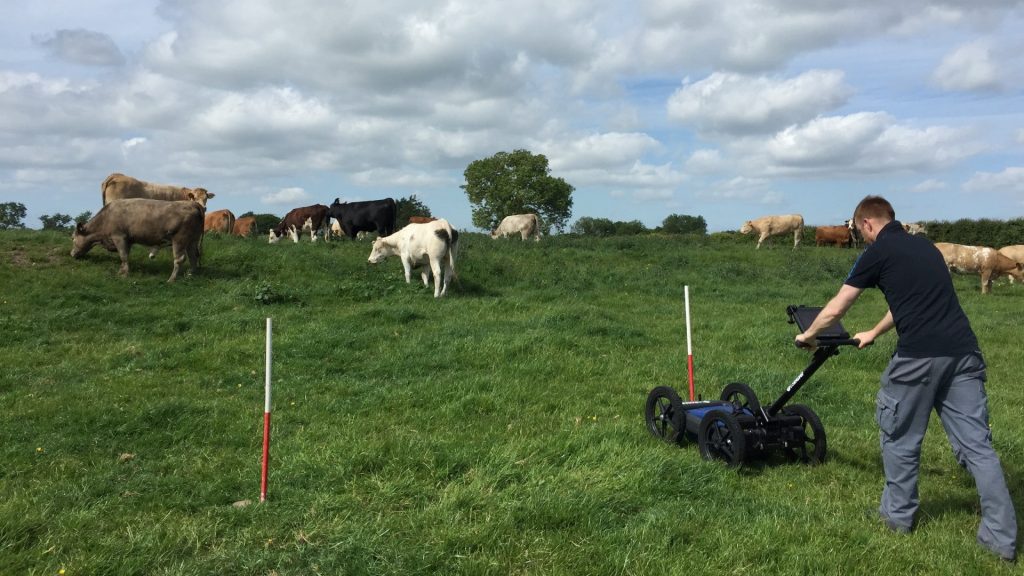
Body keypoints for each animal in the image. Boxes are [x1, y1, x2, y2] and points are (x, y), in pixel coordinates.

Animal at [70, 198, 203, 280]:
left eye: (73, 238)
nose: (71, 254)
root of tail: (193, 204)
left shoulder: (119, 236)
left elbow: (123, 255)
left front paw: (124, 274)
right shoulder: (128, 240)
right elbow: (125, 256)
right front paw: (121, 271)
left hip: (179, 239)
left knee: (179, 259)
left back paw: (171, 279)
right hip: (192, 240)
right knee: (193, 256)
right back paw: (190, 275)